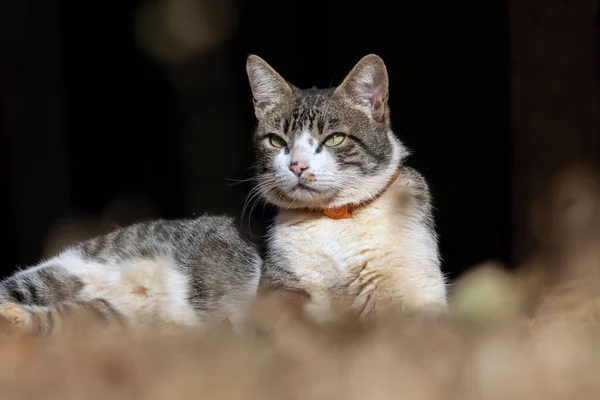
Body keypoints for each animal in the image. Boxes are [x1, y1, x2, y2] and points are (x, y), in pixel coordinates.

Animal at [246, 53, 448, 322]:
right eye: (276, 141)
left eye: (335, 138)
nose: (297, 166)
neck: (336, 216)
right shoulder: (279, 285)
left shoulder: (421, 288)